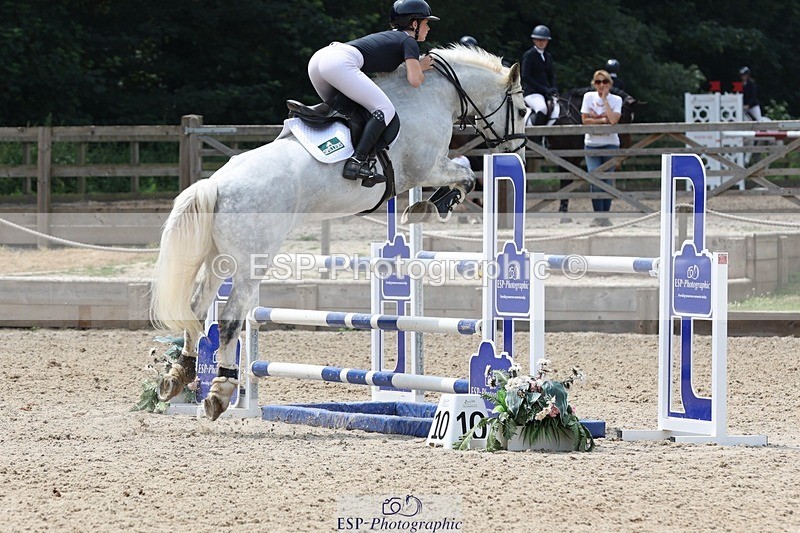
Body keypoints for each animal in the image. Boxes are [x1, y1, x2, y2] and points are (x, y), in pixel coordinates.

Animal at [149, 45, 528, 421]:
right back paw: (220, 391)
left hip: (219, 258)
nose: (518, 152)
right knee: (229, 319)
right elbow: (467, 176)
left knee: (197, 308)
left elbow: (464, 176)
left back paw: (178, 376)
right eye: (524, 110)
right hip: (250, 263)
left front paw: (428, 207)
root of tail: (215, 185)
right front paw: (434, 206)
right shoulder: (427, 167)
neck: (434, 93)